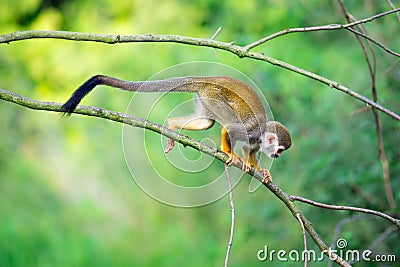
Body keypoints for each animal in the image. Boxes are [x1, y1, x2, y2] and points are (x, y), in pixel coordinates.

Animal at [61, 76, 290, 183]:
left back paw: (172, 124)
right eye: (279, 150)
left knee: (206, 121)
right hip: (214, 95)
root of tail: (210, 79)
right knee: (223, 122)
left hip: (205, 97)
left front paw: (261, 169)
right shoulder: (252, 131)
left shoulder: (256, 141)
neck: (261, 135)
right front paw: (232, 155)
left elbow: (250, 151)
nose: (277, 156)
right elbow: (231, 132)